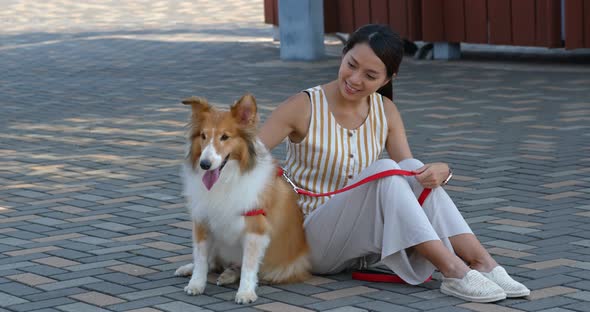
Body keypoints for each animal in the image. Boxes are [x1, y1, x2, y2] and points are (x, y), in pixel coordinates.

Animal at [176, 94, 312, 302]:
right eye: (203, 136)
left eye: (225, 137)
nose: (204, 164)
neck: (226, 179)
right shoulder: (203, 221)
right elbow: (200, 259)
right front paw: (196, 284)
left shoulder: (256, 229)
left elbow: (249, 265)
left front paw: (246, 292)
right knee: (212, 262)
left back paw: (229, 275)